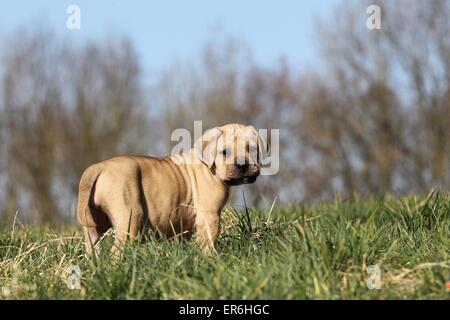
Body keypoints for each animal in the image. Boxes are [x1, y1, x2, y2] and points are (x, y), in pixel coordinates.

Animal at [77, 124, 268, 256]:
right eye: (224, 152)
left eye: (252, 148)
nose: (242, 165)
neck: (207, 165)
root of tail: (97, 168)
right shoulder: (209, 215)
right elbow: (209, 241)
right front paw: (212, 260)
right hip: (129, 219)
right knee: (117, 252)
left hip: (93, 225)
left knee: (93, 249)